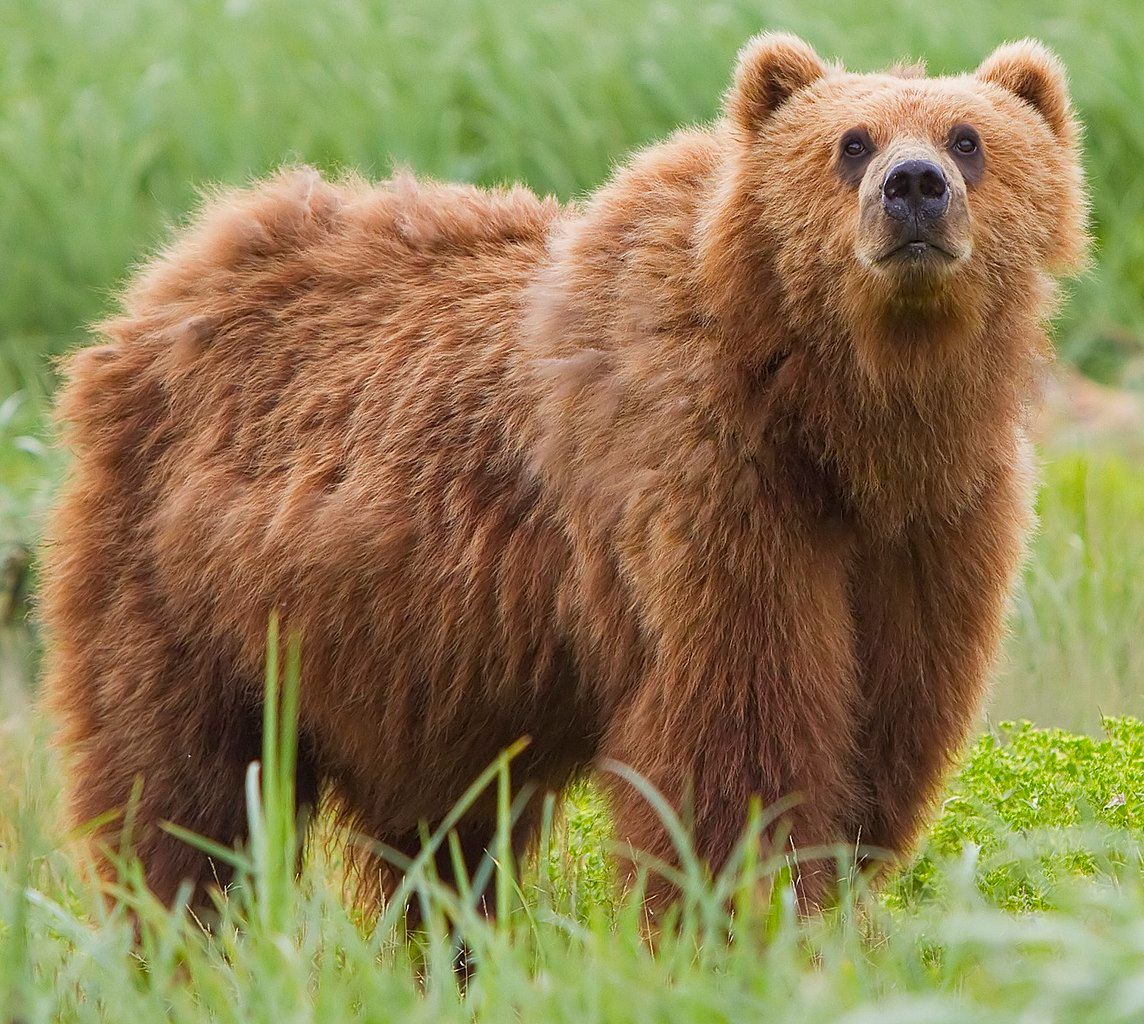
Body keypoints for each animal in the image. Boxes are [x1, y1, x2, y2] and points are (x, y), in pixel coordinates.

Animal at [40, 33, 1087, 917]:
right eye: (850, 142)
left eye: (968, 137)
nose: (914, 187)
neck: (842, 420)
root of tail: (167, 276)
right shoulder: (706, 489)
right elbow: (737, 740)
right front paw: (743, 914)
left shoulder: (932, 531)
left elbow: (884, 733)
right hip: (184, 584)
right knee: (180, 792)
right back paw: (180, 937)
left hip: (411, 665)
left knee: (439, 842)